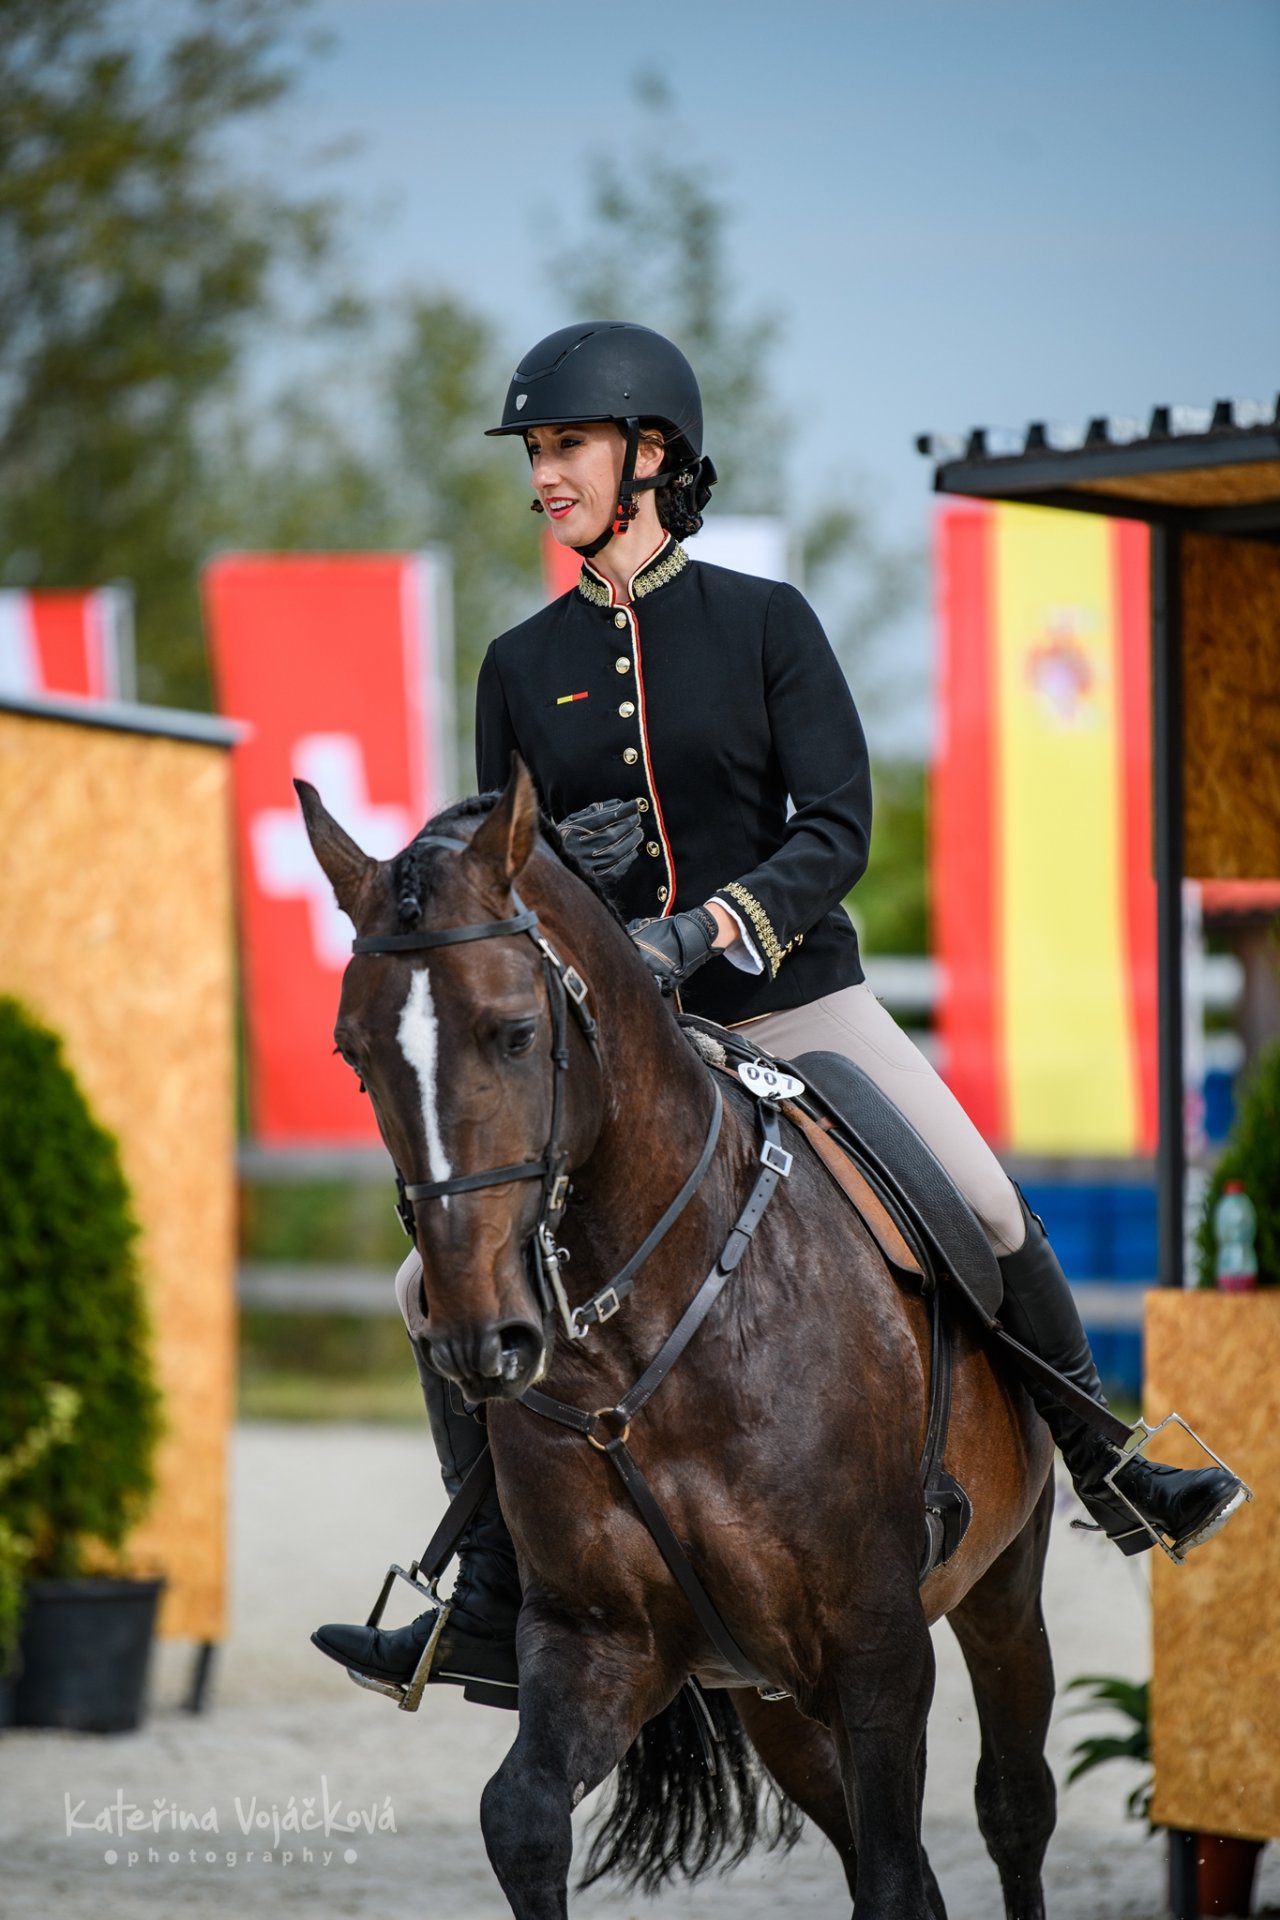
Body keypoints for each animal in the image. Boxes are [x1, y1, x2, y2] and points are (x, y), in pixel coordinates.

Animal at [301, 764, 1059, 1920]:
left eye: (513, 1032)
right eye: (355, 1053)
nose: (480, 1336)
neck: (643, 1336)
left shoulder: (879, 1651)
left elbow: (894, 1874)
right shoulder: (598, 1639)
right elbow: (519, 1819)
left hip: (1001, 1588)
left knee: (1012, 1808)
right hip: (773, 1698)